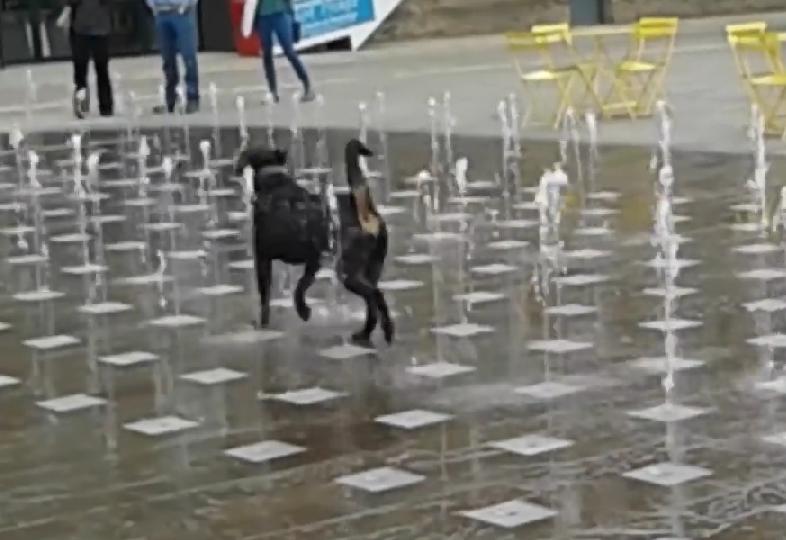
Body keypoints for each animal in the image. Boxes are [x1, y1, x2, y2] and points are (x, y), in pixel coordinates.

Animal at [233, 137, 392, 344]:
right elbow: (302, 285)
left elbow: (267, 298)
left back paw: (388, 329)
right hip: (371, 269)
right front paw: (303, 310)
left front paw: (267, 323)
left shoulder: (263, 259)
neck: (274, 183)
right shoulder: (313, 259)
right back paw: (364, 333)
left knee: (375, 295)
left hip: (348, 272)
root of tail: (365, 213)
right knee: (371, 302)